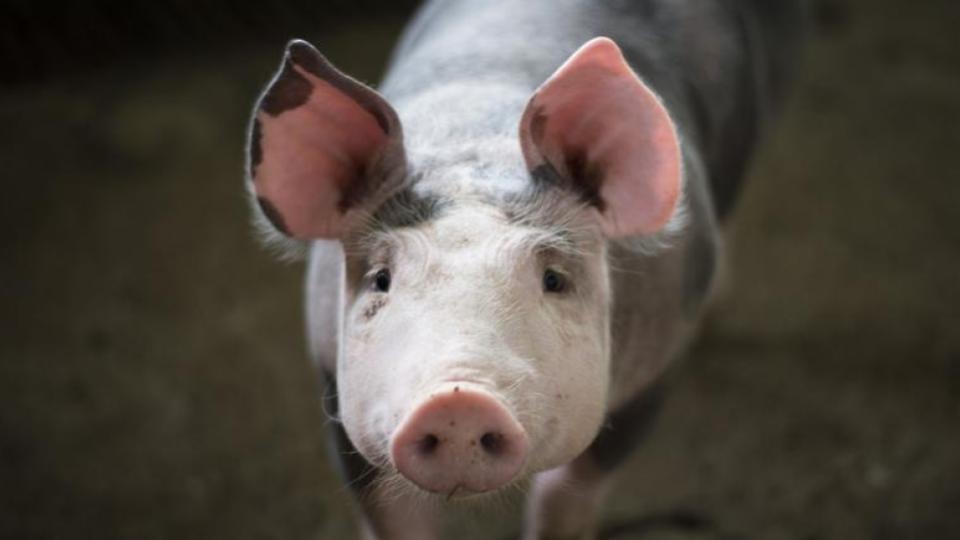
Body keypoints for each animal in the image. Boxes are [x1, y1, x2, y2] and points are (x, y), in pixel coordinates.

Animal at [245, 0, 802, 538]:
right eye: (381, 279)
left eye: (553, 279)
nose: (458, 400)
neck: (476, 139)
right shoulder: (333, 382)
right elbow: (391, 514)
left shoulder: (654, 371)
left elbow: (564, 500)